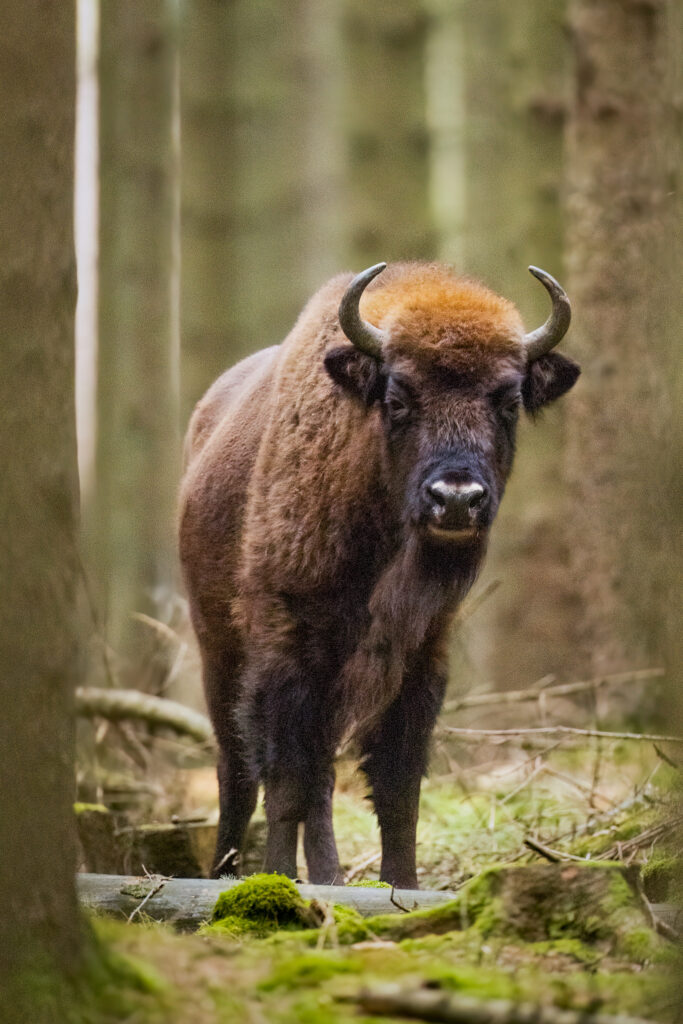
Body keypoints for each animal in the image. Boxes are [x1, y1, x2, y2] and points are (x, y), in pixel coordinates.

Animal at [179, 261, 579, 887]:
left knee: (314, 779)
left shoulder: (422, 653)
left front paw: (402, 884)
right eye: (398, 397)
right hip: (217, 648)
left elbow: (397, 784)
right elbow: (285, 781)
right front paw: (277, 879)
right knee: (238, 771)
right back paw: (229, 871)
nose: (456, 499)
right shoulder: (286, 644)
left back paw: (326, 876)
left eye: (509, 401)